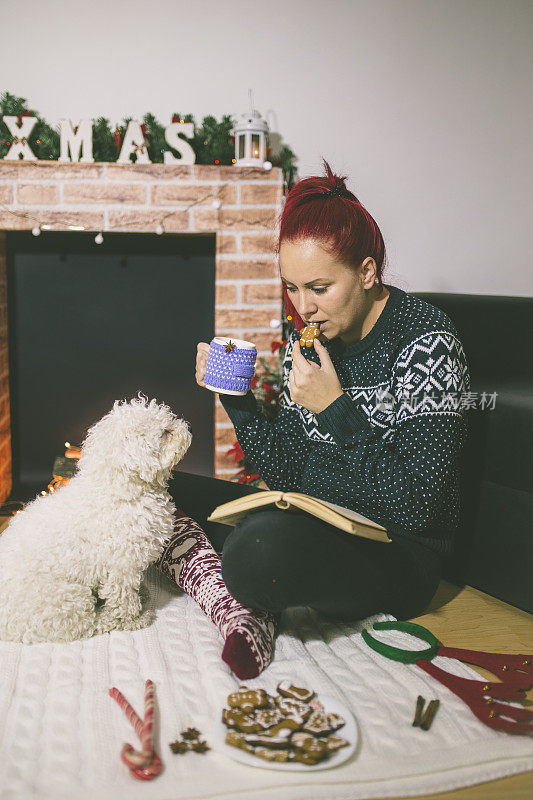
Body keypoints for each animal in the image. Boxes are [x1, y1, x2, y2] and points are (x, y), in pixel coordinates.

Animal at [0, 394, 192, 644]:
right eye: (165, 433)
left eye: (169, 419)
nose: (188, 428)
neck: (121, 488)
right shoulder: (121, 566)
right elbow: (123, 599)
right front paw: (134, 618)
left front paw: (141, 593)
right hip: (67, 599)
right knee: (85, 625)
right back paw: (107, 618)